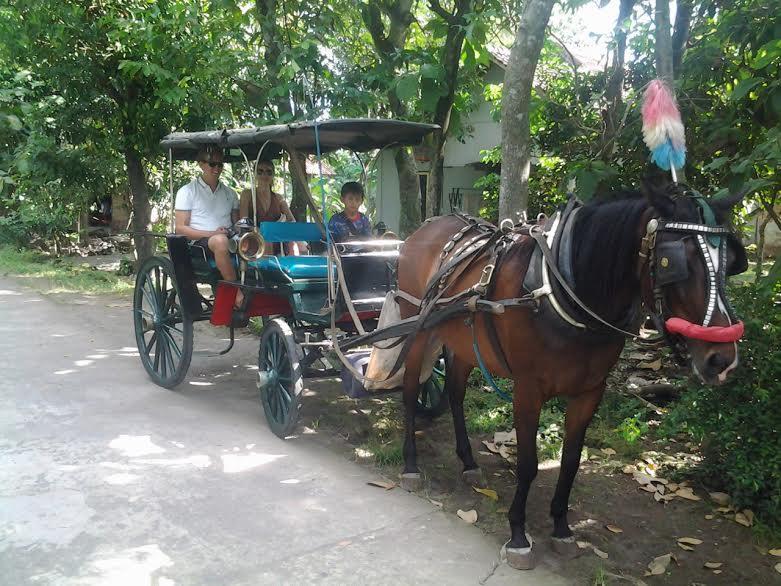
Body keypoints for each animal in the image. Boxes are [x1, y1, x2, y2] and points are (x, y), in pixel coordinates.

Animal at [400, 181, 748, 564]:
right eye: (673, 263)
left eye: (731, 262)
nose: (721, 359)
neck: (564, 289)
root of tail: (425, 227)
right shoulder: (528, 389)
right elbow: (528, 464)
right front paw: (518, 533)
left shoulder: (590, 391)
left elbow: (570, 462)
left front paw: (562, 528)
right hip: (415, 328)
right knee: (409, 390)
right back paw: (410, 463)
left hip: (461, 341)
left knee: (456, 394)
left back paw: (467, 462)